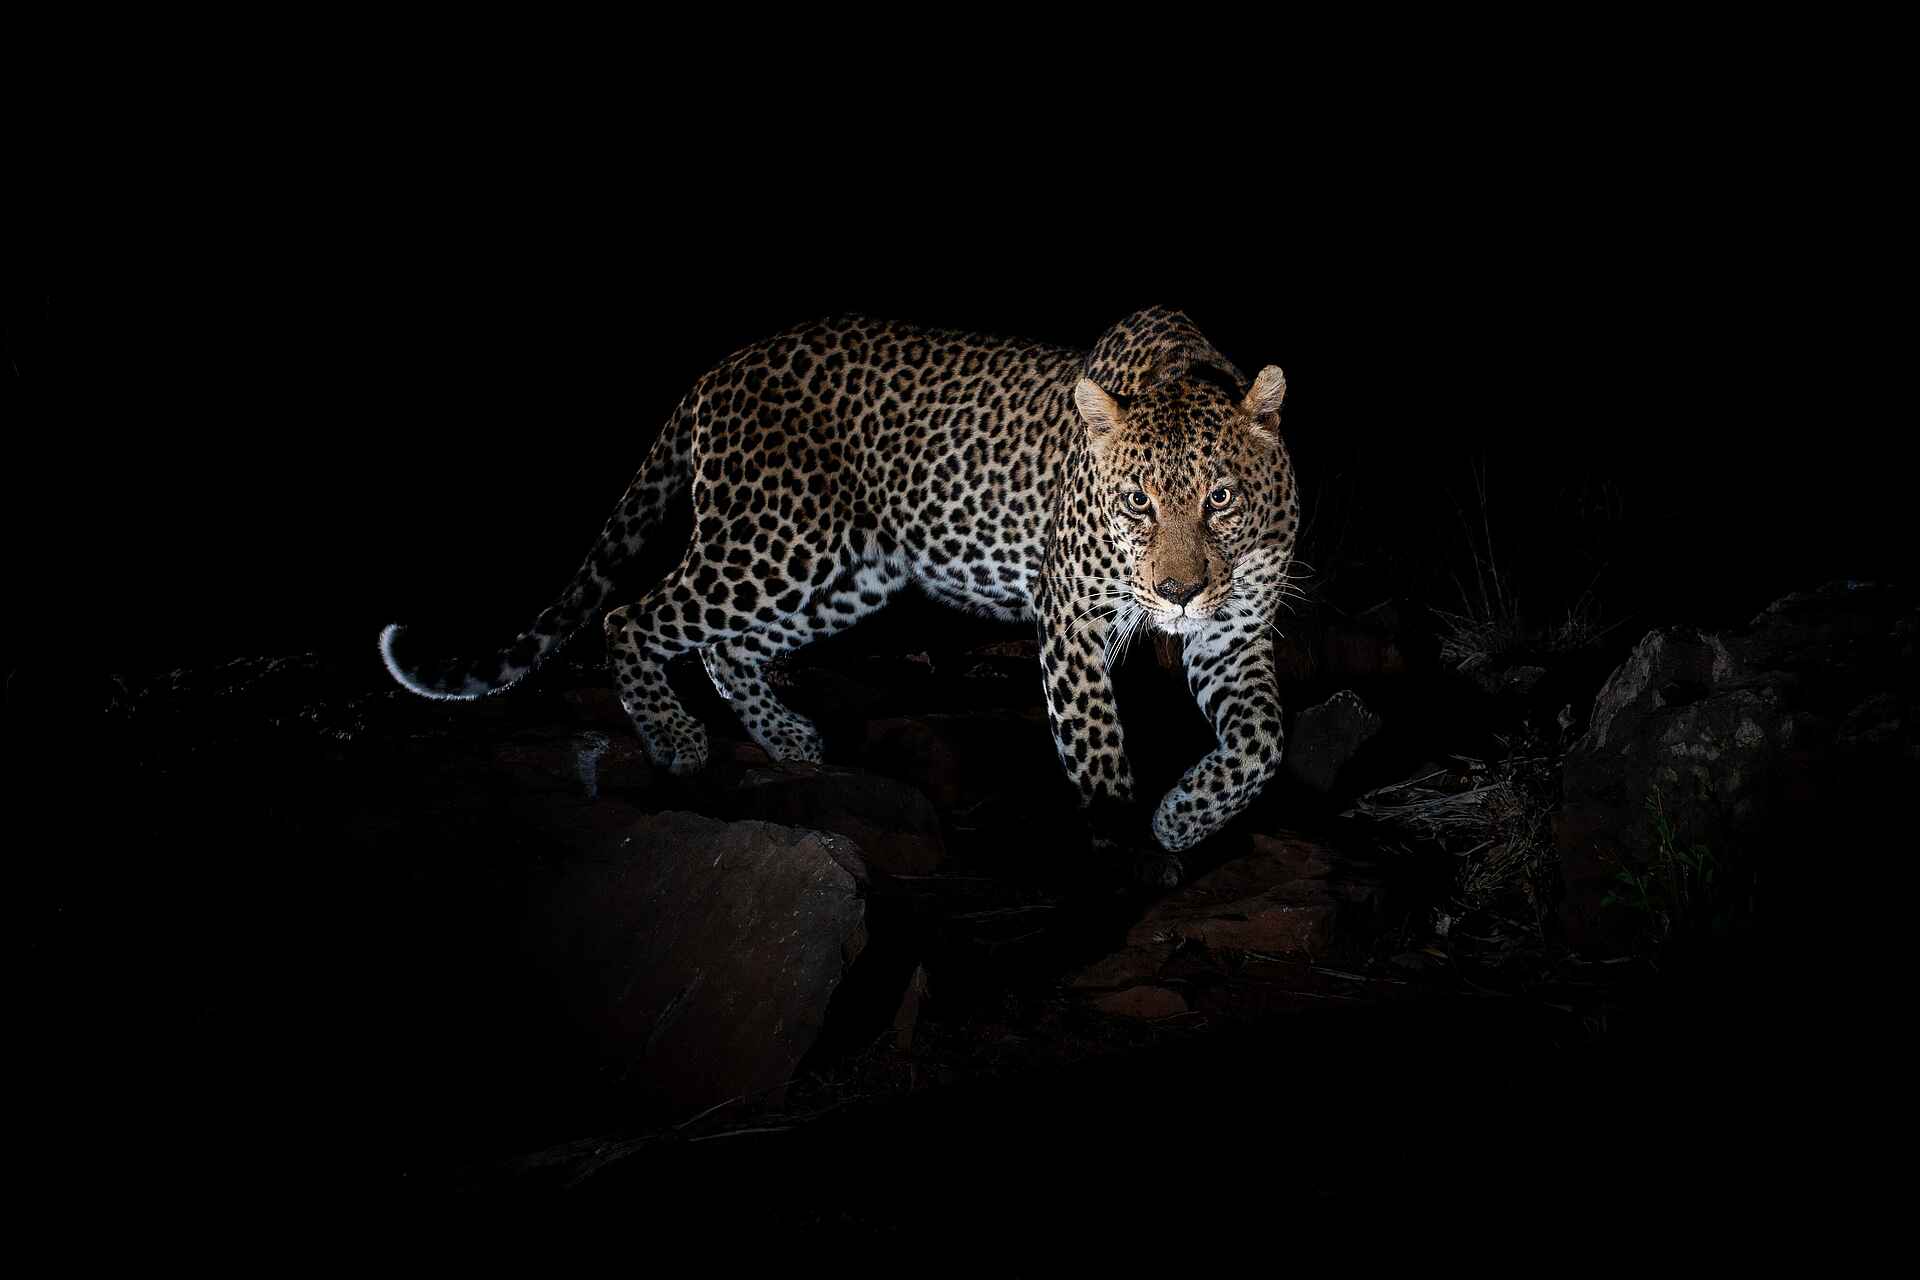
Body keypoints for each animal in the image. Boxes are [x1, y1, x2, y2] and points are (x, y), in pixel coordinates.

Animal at [379, 307, 1302, 881]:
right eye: (1137, 503)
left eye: (1219, 498)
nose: (1176, 593)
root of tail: (717, 370)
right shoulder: (1071, 615)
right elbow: (1100, 750)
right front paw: (1128, 841)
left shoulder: (1234, 633)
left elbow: (1262, 744)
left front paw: (1184, 816)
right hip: (775, 542)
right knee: (632, 614)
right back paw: (676, 738)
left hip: (846, 574)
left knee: (726, 644)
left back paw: (787, 735)